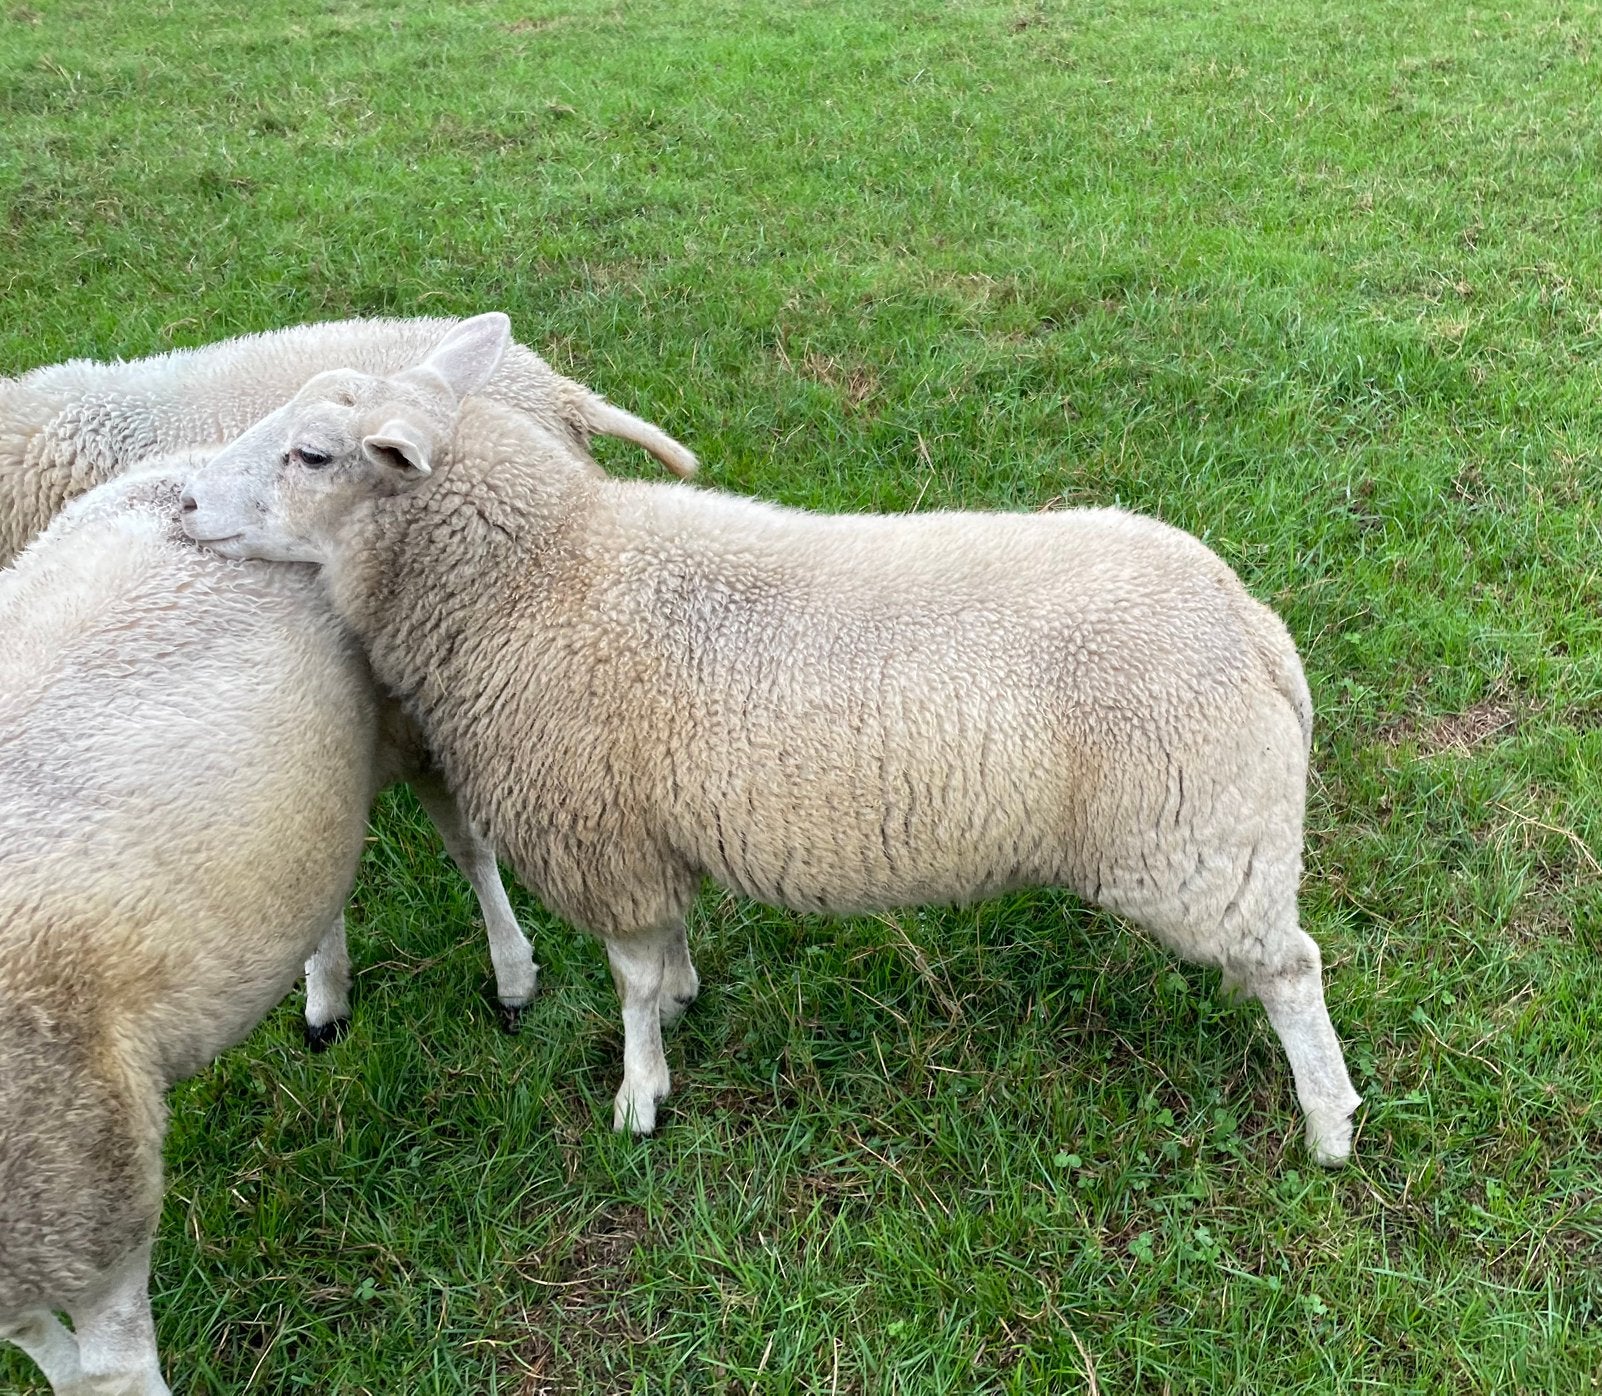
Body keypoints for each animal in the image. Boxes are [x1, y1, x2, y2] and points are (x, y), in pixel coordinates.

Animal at [180, 313, 1363, 1166]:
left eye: (312, 455)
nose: (181, 500)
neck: (538, 578)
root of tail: (1252, 626)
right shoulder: (650, 837)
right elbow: (666, 956)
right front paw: (685, 1003)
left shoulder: (605, 840)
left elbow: (630, 986)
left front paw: (641, 1095)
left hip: (1196, 841)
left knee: (1295, 970)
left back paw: (1331, 1125)